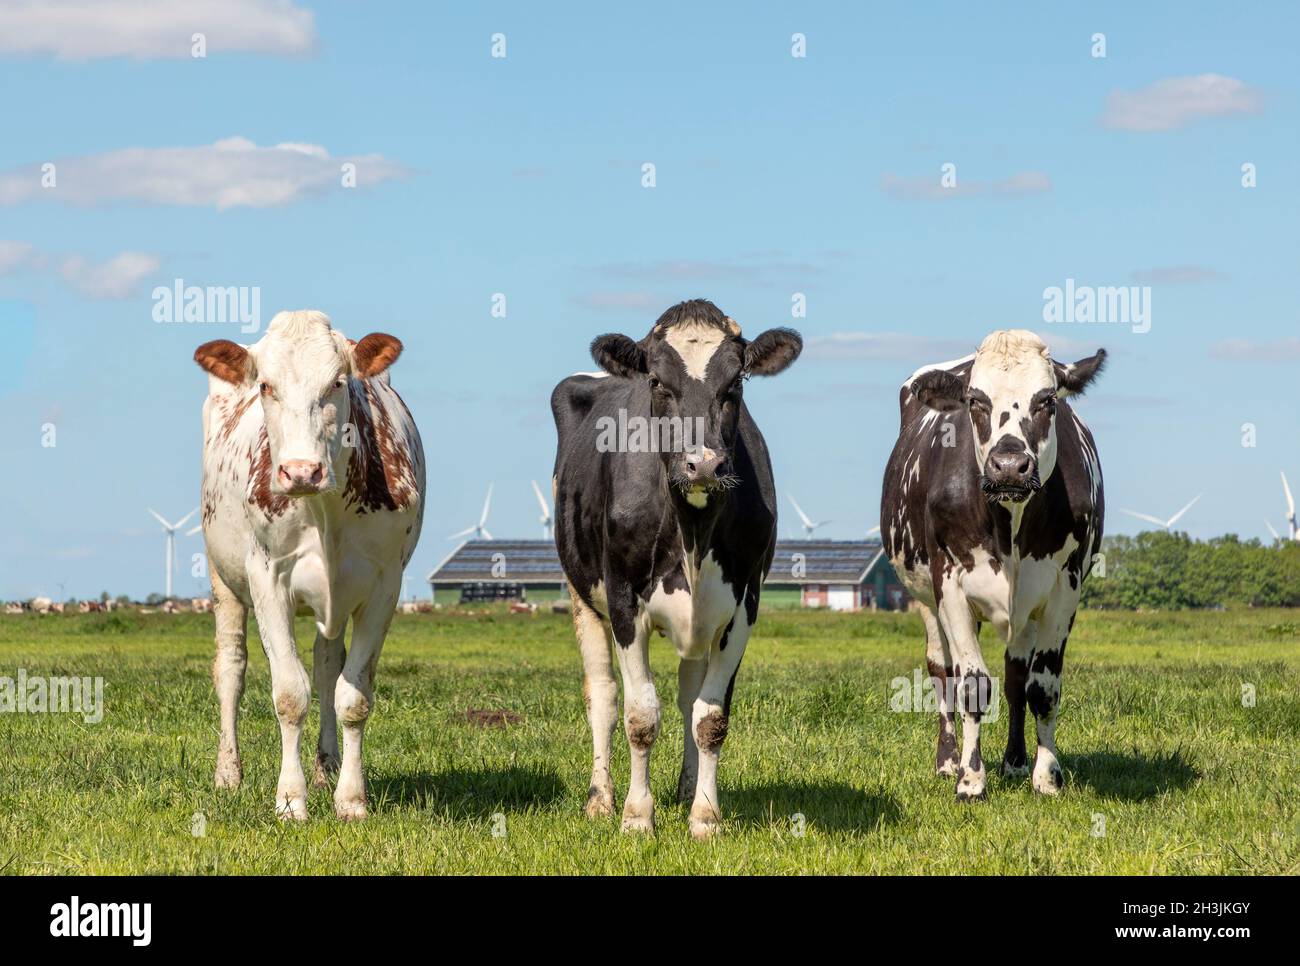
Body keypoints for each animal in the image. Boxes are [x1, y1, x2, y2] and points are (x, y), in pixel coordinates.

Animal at [193, 310, 425, 821]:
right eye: (265, 385)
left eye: (338, 383)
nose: (301, 472)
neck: (326, 511)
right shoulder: (266, 578)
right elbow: (288, 695)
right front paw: (289, 801)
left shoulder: (384, 585)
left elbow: (351, 695)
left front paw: (350, 799)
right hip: (223, 579)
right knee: (231, 669)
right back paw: (228, 774)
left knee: (326, 665)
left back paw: (326, 768)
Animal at [551, 298, 801, 838]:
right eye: (657, 382)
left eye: (736, 382)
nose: (702, 464)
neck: (692, 527)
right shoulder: (624, 600)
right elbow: (641, 714)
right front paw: (636, 816)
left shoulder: (743, 606)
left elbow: (709, 718)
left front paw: (705, 816)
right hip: (582, 596)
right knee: (602, 696)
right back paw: (600, 798)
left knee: (689, 696)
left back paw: (687, 790)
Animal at [882, 329, 1104, 800]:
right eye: (975, 400)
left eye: (1047, 400)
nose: (1008, 466)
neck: (1009, 522)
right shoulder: (950, 585)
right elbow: (970, 685)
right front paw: (970, 779)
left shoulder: (1064, 588)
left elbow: (1041, 687)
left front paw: (1046, 775)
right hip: (924, 598)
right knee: (941, 670)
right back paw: (948, 760)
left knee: (1016, 674)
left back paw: (1015, 762)